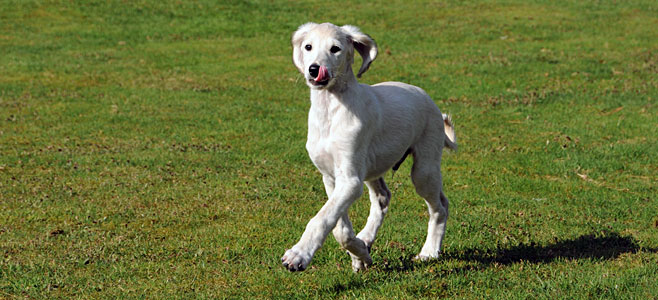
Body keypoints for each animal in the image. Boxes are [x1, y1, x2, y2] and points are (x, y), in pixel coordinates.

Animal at [280, 22, 454, 272]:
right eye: (308, 46)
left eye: (335, 49)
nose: (314, 70)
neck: (331, 112)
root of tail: (426, 97)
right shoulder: (330, 177)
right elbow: (339, 228)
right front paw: (360, 253)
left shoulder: (350, 180)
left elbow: (322, 218)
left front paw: (298, 255)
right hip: (373, 167)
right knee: (383, 198)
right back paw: (366, 238)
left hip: (424, 169)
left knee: (440, 206)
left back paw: (429, 251)